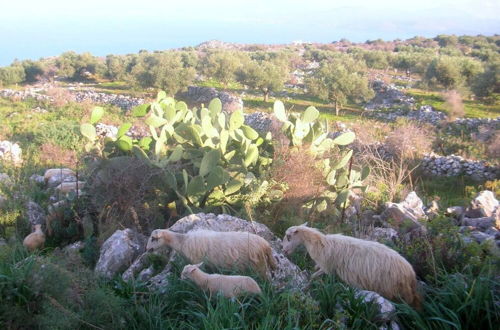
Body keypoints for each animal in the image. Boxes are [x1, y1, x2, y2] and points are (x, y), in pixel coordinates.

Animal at [145, 228, 278, 280]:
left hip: (259, 266)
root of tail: (265, 245)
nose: (147, 249)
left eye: (153, 238)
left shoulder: (198, 262)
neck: (182, 241)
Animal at [284, 223, 420, 308]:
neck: (320, 244)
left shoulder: (329, 268)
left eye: (289, 237)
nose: (283, 251)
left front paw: (306, 285)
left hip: (391, 289)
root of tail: (411, 274)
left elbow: (313, 276)